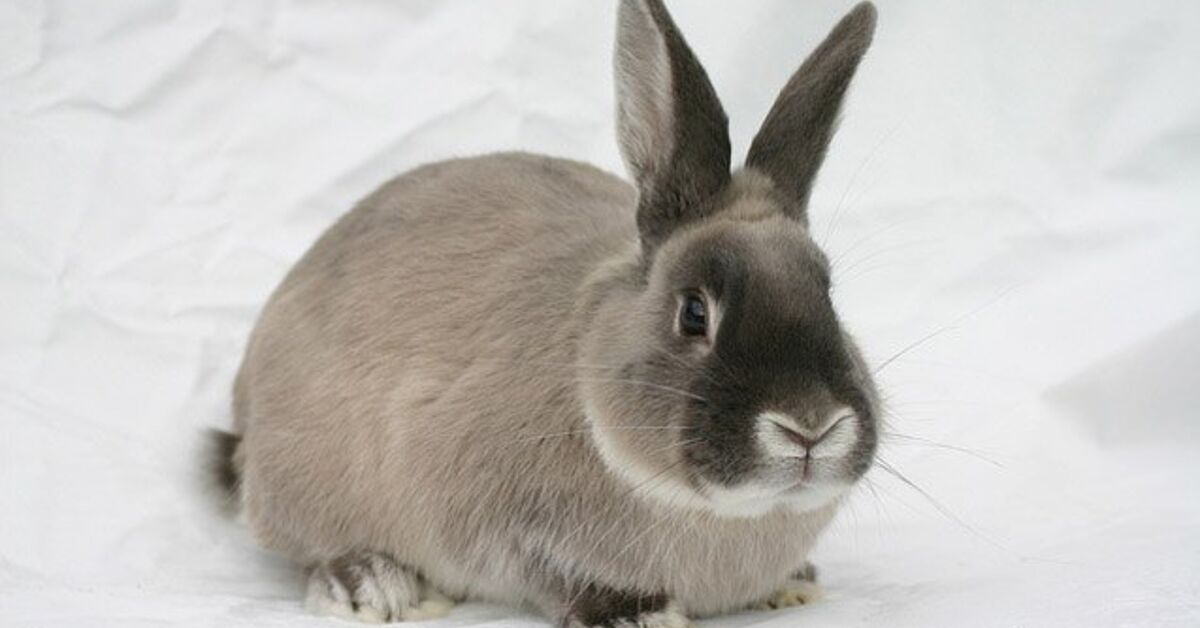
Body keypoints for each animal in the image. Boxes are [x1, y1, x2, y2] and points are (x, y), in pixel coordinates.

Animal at [209, 1, 881, 626]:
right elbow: (556, 574)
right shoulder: (503, 526)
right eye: (694, 312)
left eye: (827, 291)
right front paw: (636, 614)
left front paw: (794, 584)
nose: (810, 426)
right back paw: (370, 586)